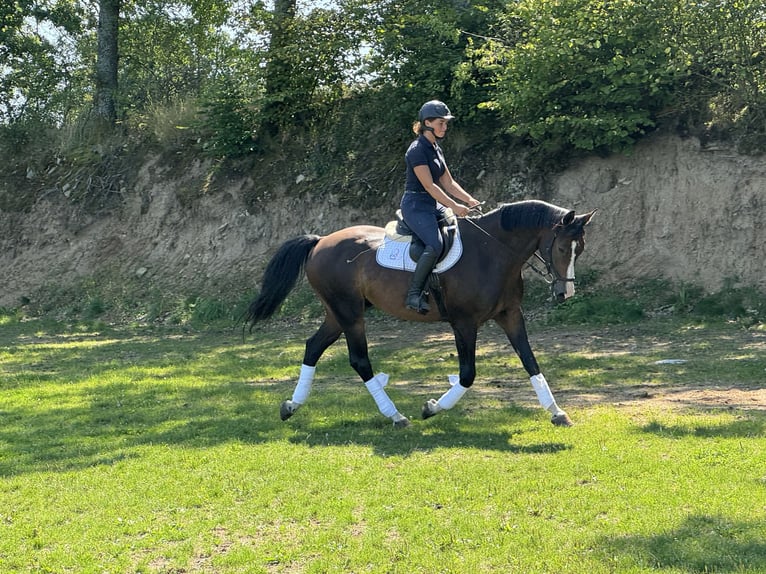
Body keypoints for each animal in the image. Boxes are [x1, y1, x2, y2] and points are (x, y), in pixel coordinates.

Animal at [249, 200, 596, 430]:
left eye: (580, 249)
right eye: (562, 248)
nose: (565, 294)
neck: (493, 252)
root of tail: (321, 241)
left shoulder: (510, 315)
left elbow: (531, 362)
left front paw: (557, 412)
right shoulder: (464, 323)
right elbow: (467, 375)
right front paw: (431, 408)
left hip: (338, 314)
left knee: (313, 347)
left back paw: (291, 406)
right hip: (349, 314)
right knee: (359, 360)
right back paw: (395, 415)